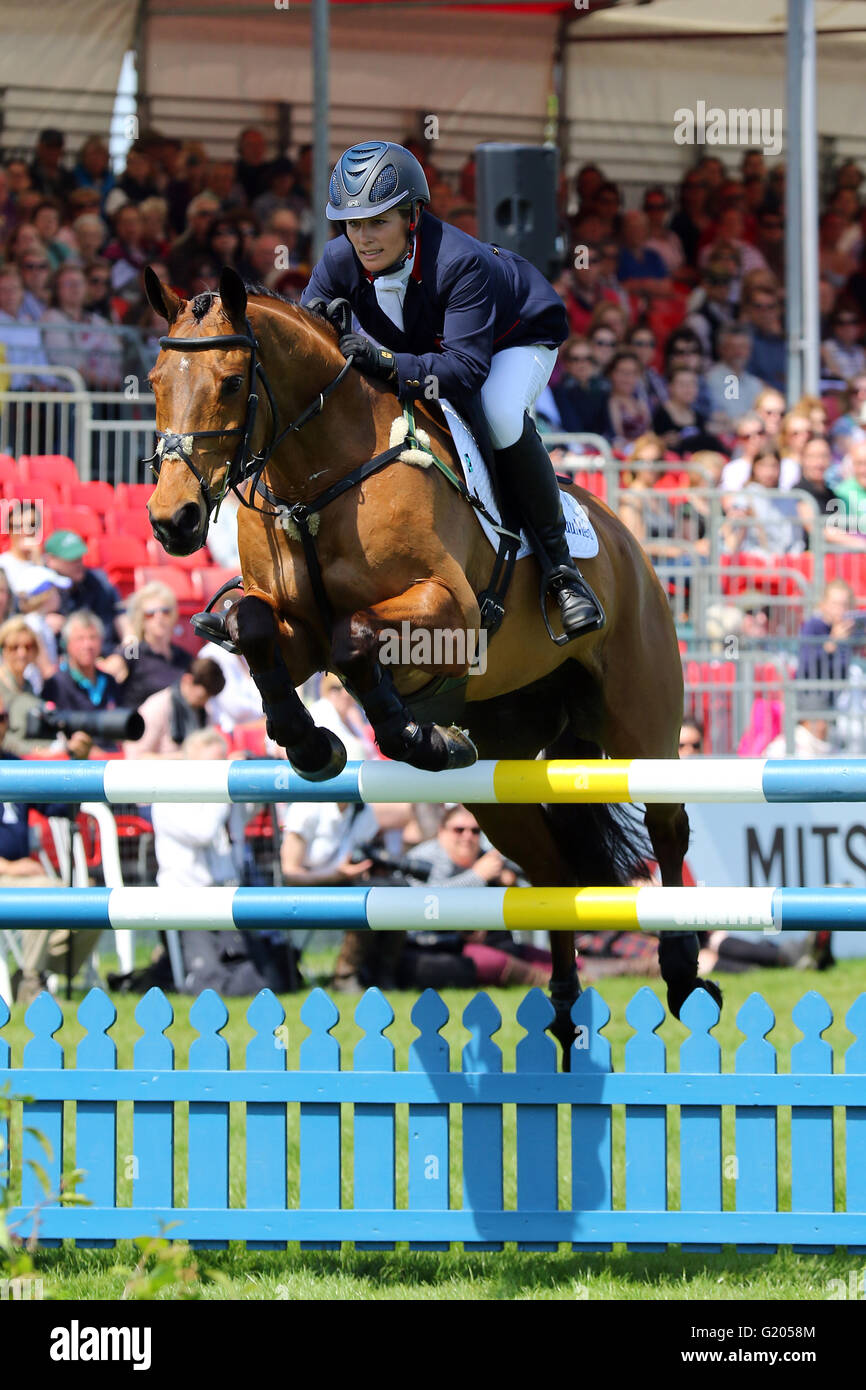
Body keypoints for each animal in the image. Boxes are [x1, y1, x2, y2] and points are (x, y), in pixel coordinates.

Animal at [143, 265, 722, 1056]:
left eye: (232, 384)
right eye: (153, 382)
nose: (171, 521)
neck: (315, 480)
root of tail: (632, 546)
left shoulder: (449, 610)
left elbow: (358, 634)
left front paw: (413, 735)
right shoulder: (297, 634)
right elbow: (261, 626)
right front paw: (317, 744)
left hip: (643, 725)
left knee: (669, 827)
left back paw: (683, 974)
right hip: (501, 774)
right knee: (551, 867)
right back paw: (564, 1013)